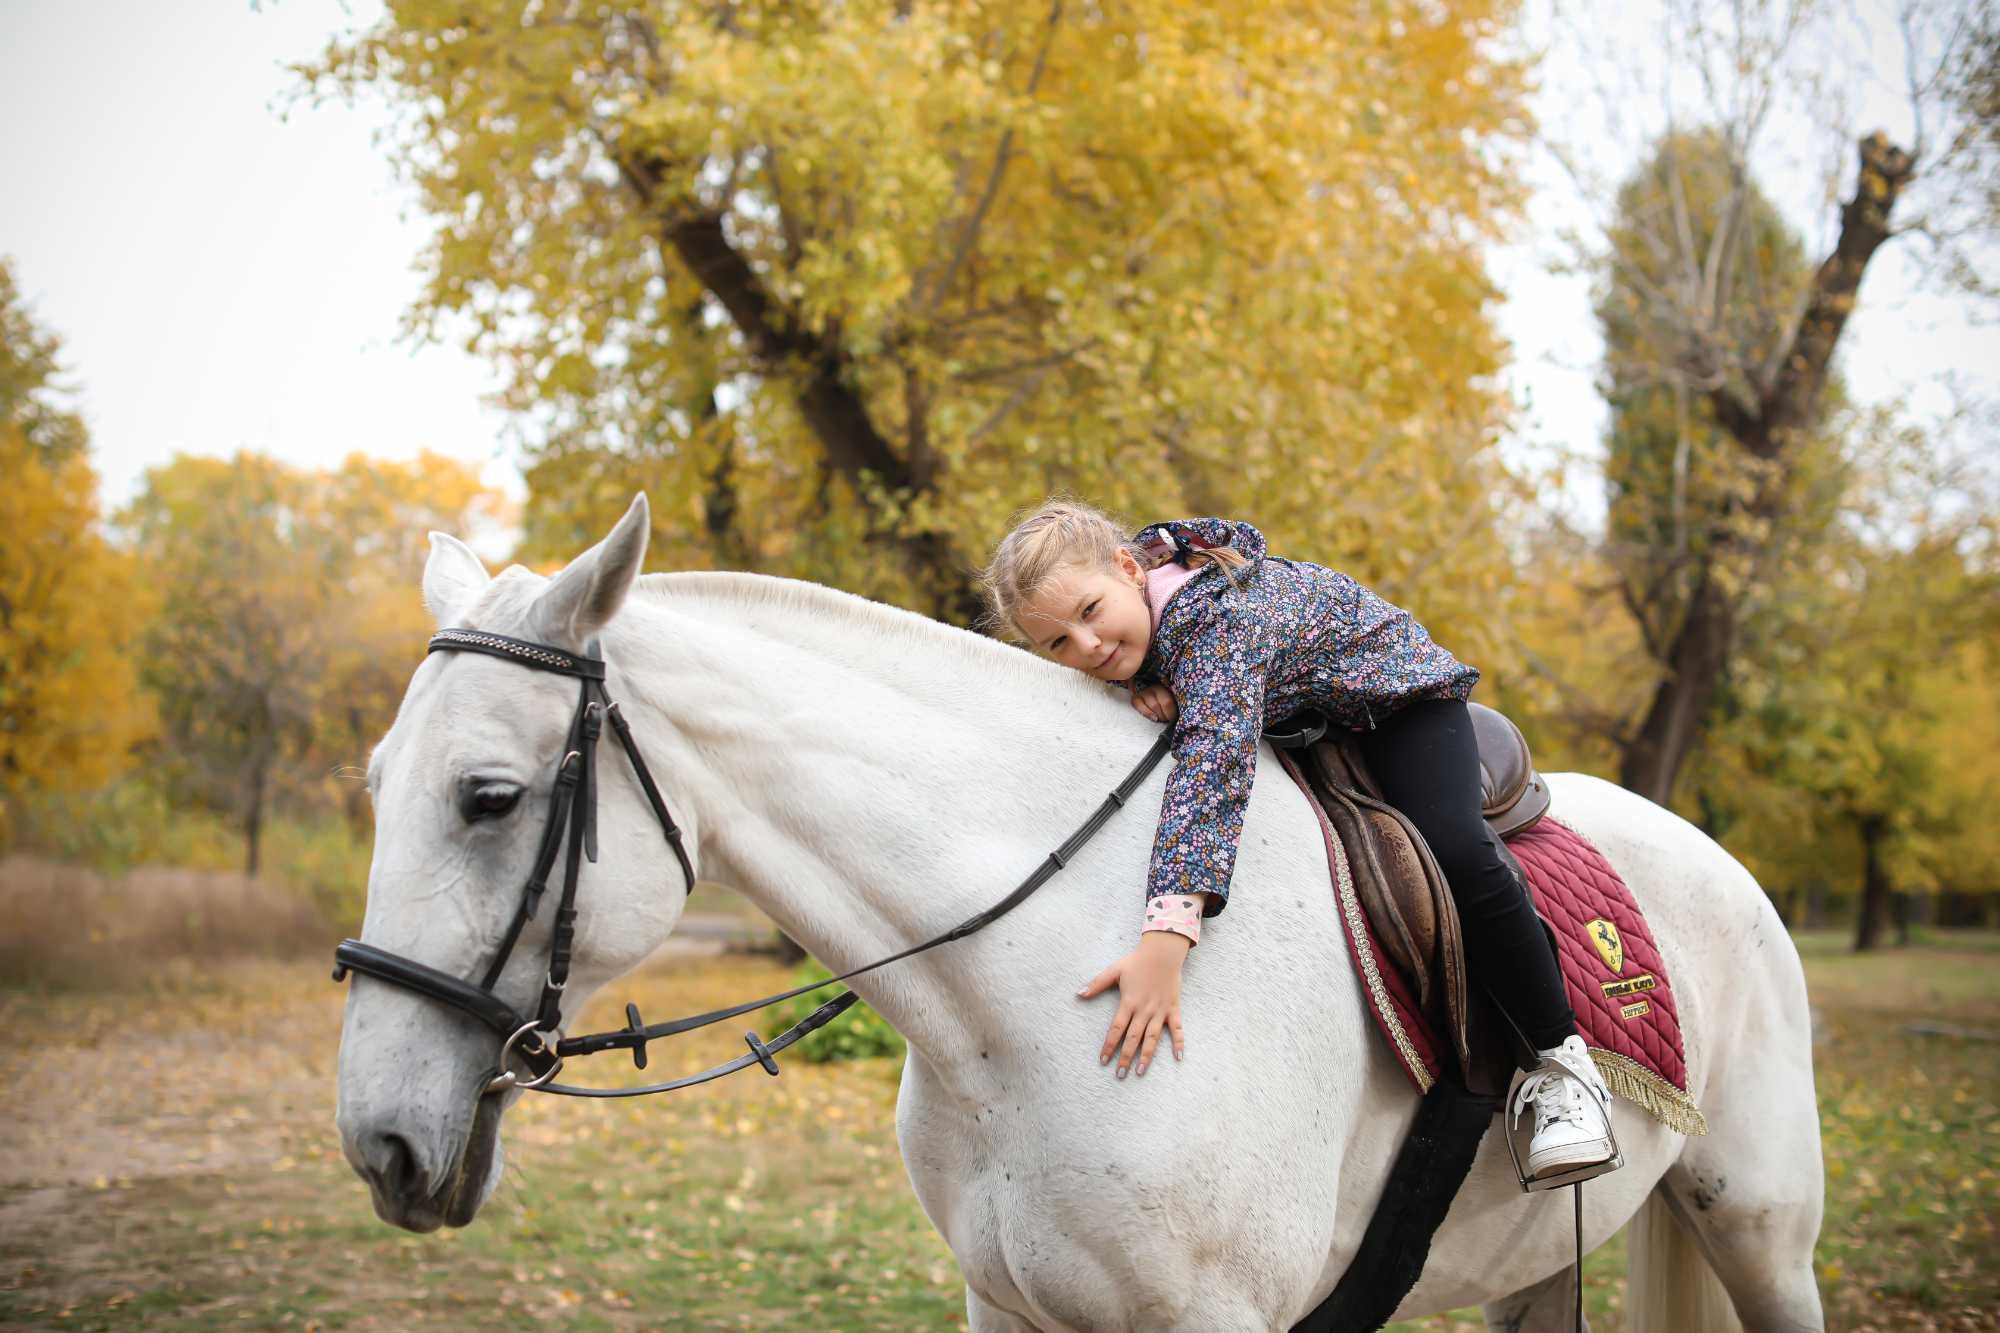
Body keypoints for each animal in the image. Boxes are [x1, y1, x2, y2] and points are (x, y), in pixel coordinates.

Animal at [332, 498, 1832, 1328]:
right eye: (376, 782)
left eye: (486, 796)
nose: (380, 1143)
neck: (1012, 1013)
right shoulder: (1004, 1305)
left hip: (1762, 1231)